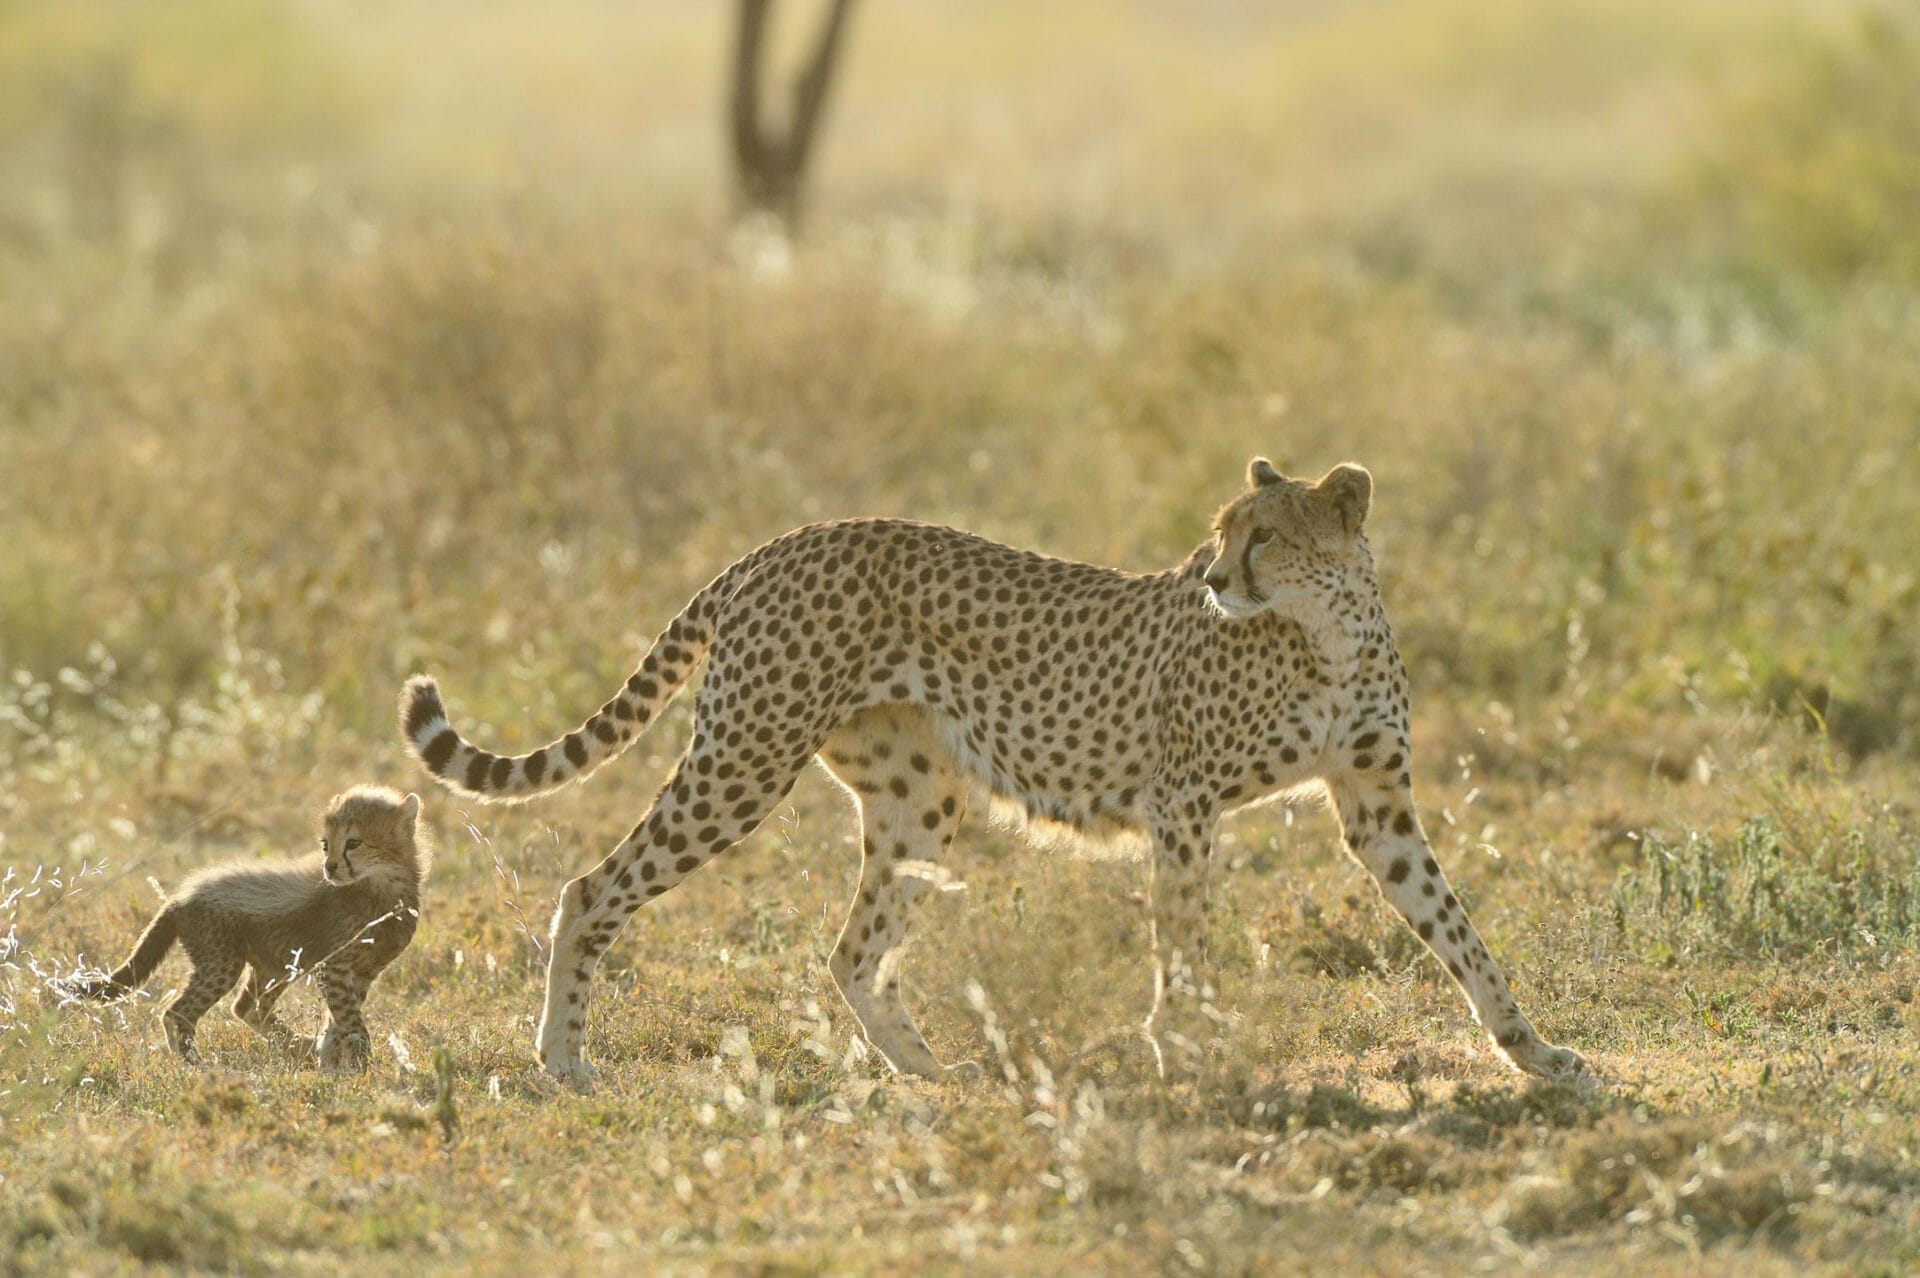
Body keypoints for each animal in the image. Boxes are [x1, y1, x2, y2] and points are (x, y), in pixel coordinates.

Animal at [397, 454, 1582, 1074]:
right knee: (590, 887)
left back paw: (931, 1074)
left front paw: (1533, 1050)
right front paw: (1182, 1046)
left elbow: (1458, 931)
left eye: (1266, 536)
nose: (1212, 578)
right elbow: (1184, 940)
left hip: (917, 798)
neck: (1325, 632)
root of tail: (778, 542)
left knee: (850, 951)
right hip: (746, 759)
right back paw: (561, 1058)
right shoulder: (1185, 803)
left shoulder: (1377, 807)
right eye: (1222, 530)